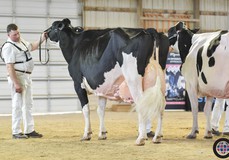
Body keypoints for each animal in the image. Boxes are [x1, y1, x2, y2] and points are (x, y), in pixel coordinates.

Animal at [45, 18, 170, 146]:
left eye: (53, 26)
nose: (46, 32)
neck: (75, 45)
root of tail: (148, 30)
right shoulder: (102, 88)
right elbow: (100, 110)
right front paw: (102, 134)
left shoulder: (78, 83)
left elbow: (86, 109)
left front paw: (87, 134)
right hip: (160, 80)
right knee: (161, 105)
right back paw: (157, 136)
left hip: (133, 78)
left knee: (141, 103)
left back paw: (141, 138)